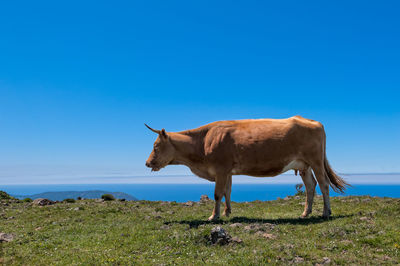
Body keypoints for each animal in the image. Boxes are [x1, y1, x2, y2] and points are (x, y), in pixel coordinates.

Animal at [145, 116, 348, 220]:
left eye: (156, 146)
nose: (147, 163)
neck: (203, 141)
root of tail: (313, 121)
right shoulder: (227, 171)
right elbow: (227, 192)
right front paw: (227, 212)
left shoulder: (220, 169)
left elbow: (217, 194)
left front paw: (213, 216)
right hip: (303, 165)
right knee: (310, 186)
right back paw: (305, 213)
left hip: (315, 161)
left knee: (323, 184)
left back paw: (325, 213)